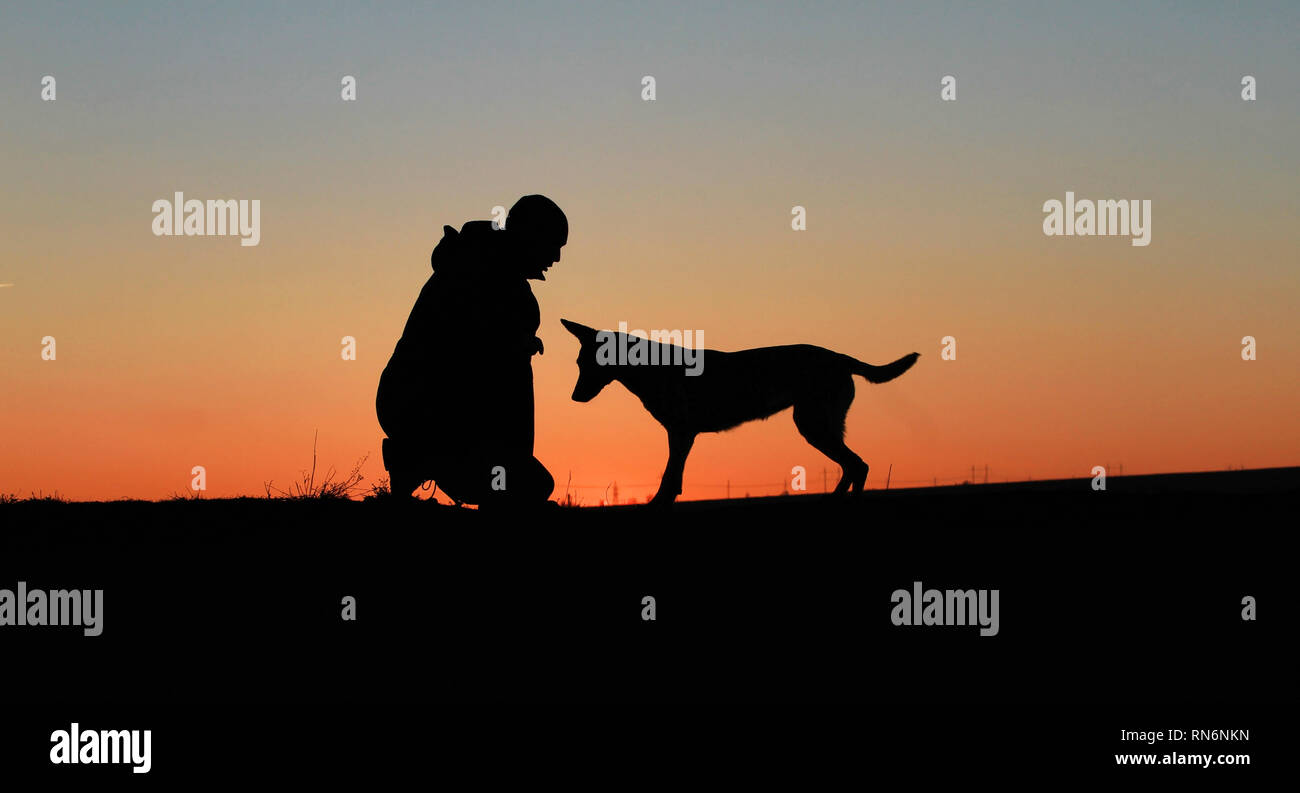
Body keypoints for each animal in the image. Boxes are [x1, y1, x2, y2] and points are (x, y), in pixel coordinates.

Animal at [564, 318, 920, 504]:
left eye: (586, 364)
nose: (574, 397)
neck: (650, 368)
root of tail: (840, 357)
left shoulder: (681, 432)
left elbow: (670, 476)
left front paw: (658, 503)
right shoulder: (681, 434)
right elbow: (673, 476)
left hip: (813, 425)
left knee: (858, 465)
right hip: (821, 425)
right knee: (853, 466)